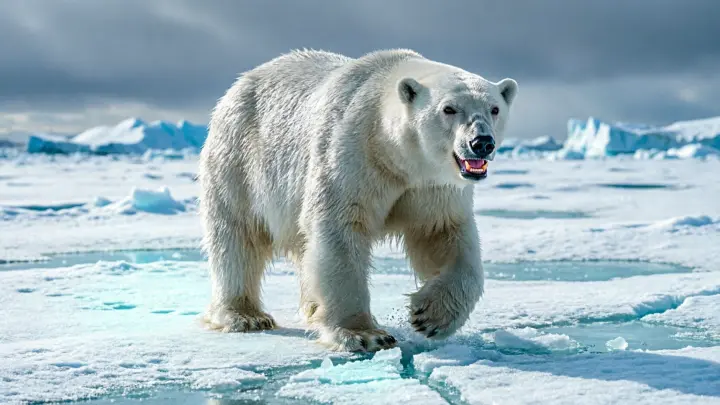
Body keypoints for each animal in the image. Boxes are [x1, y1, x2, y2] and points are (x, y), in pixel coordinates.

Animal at [198, 48, 518, 352]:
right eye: (448, 109)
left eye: (494, 108)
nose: (482, 142)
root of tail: (241, 82)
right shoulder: (354, 155)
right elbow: (339, 231)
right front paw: (363, 334)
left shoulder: (432, 186)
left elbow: (441, 234)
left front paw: (430, 316)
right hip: (239, 159)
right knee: (238, 236)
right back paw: (246, 315)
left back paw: (312, 308)